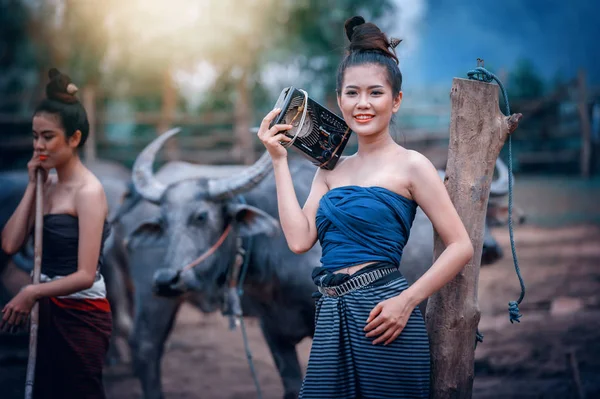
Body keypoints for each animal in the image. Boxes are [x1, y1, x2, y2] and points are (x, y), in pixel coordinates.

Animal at [123, 129, 516, 399]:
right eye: (163, 222)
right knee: (146, 347)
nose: (167, 278)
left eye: (202, 216)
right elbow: (291, 384)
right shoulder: (272, 329)